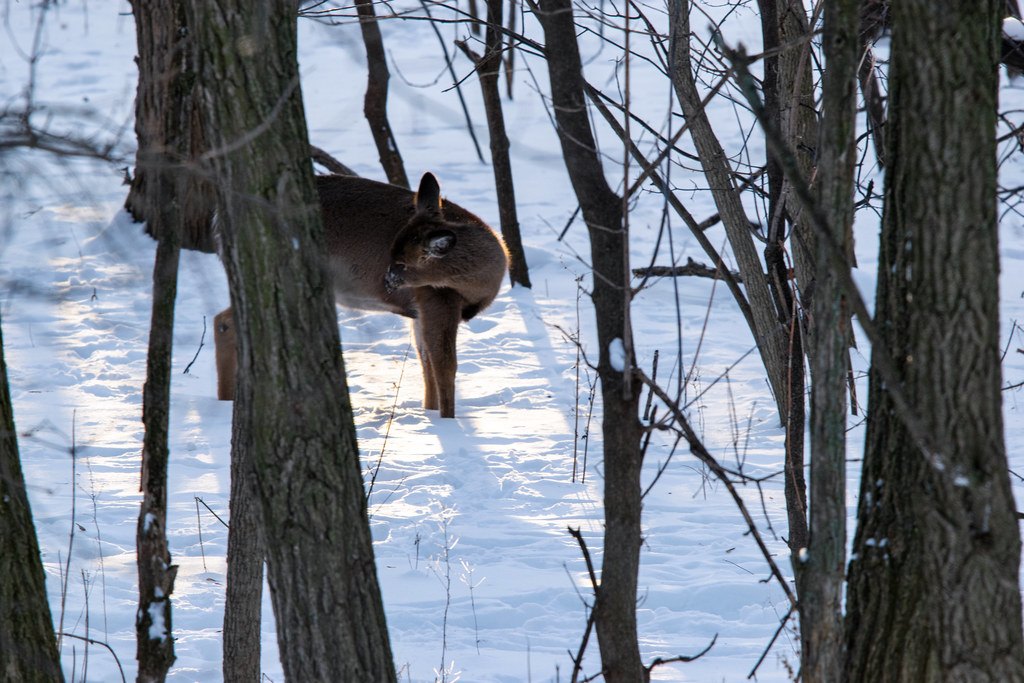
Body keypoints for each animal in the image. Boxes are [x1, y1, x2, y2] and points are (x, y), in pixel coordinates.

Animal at [214, 172, 509, 418]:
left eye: (402, 262)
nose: (387, 280)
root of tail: (218, 221)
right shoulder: (437, 298)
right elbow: (445, 367)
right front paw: (447, 421)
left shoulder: (419, 311)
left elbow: (425, 363)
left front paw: (430, 414)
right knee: (226, 322)